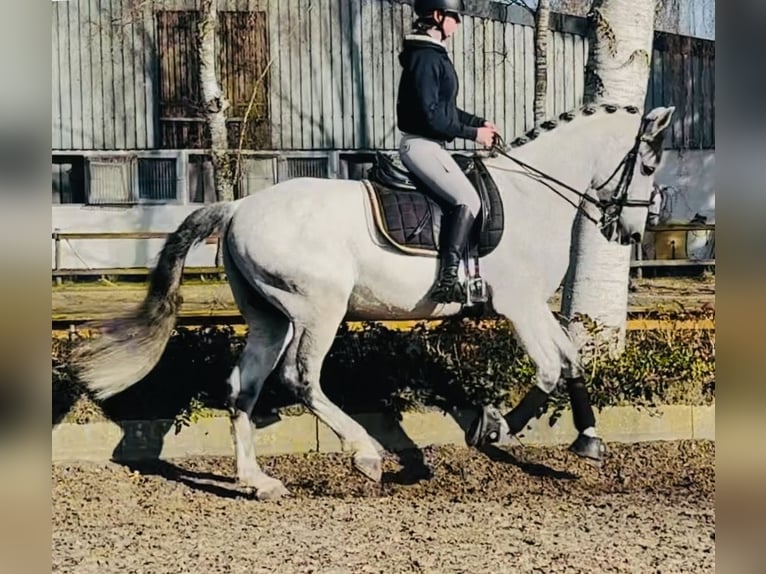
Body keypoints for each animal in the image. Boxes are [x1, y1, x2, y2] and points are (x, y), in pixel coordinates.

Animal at [70, 102, 674, 499]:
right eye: (648, 165)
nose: (630, 232)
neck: (532, 194)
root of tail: (239, 207)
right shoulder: (519, 305)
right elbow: (549, 367)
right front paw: (495, 428)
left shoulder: (533, 305)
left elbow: (571, 358)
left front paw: (588, 439)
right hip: (320, 310)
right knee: (301, 378)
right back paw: (365, 455)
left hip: (269, 318)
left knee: (243, 386)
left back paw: (258, 482)